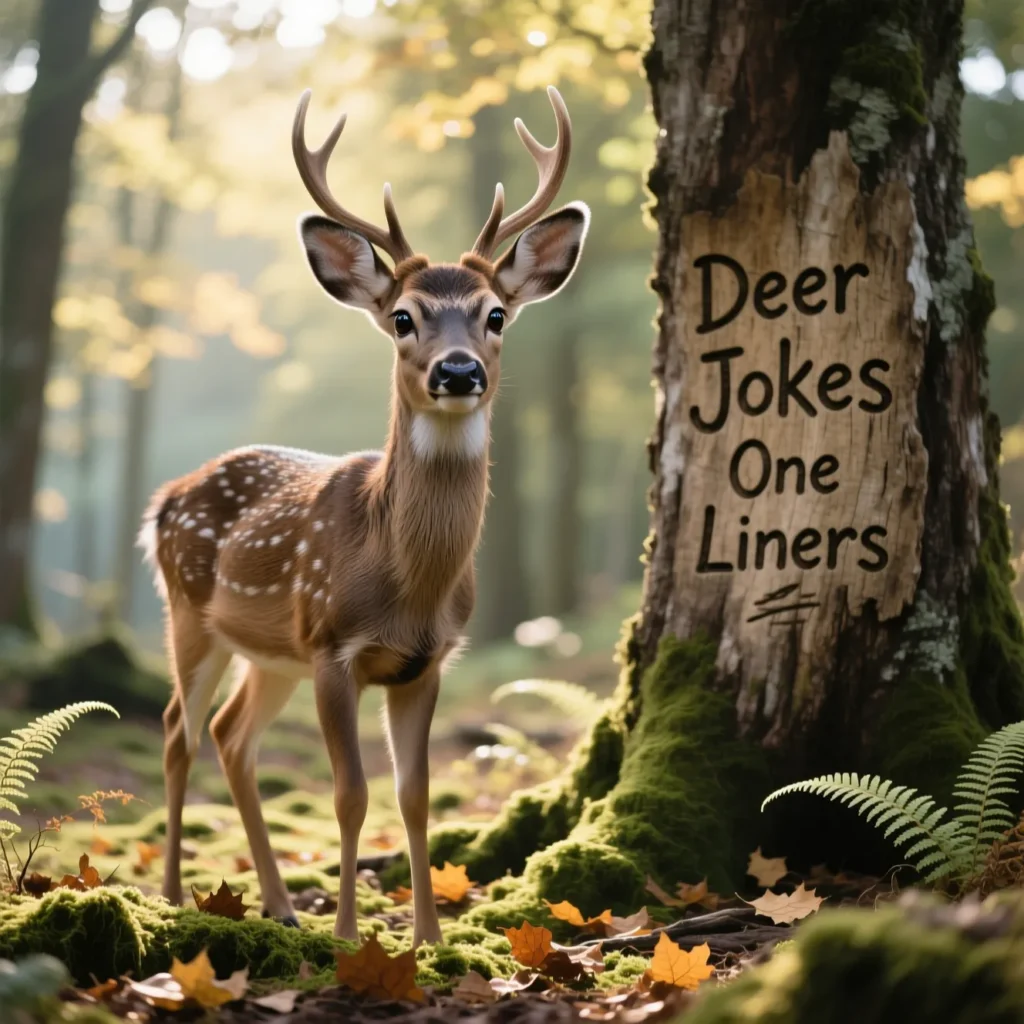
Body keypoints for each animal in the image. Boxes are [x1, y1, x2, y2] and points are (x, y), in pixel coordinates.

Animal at [138, 85, 589, 947]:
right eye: (405, 317)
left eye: (496, 315)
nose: (458, 371)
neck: (406, 582)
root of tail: (164, 497)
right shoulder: (332, 645)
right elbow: (351, 795)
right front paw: (350, 934)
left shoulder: (427, 660)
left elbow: (414, 796)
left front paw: (431, 939)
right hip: (190, 612)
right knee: (180, 728)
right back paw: (175, 894)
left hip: (269, 653)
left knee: (232, 736)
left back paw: (280, 903)